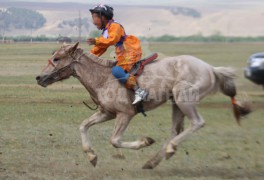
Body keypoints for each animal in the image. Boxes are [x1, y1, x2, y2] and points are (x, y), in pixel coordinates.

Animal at [35, 42, 250, 169]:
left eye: (56, 58)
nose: (39, 77)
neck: (103, 78)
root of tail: (211, 69)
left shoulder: (125, 114)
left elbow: (115, 140)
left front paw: (145, 141)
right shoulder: (107, 113)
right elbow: (83, 126)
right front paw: (91, 156)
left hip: (184, 99)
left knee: (196, 123)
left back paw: (169, 150)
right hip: (176, 104)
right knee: (176, 130)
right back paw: (152, 161)